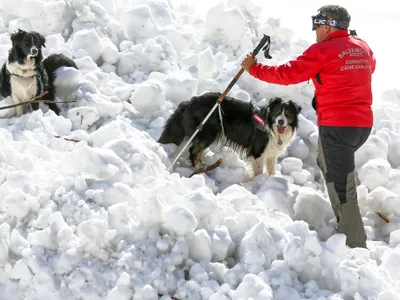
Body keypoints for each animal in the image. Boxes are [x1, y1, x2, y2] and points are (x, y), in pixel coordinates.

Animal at [158, 92, 302, 178]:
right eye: (277, 113)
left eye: (288, 114)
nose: (281, 121)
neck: (271, 127)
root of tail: (189, 102)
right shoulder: (258, 151)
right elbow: (258, 171)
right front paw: (258, 181)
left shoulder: (272, 153)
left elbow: (271, 169)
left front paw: (271, 179)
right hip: (208, 132)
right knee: (193, 151)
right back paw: (201, 169)